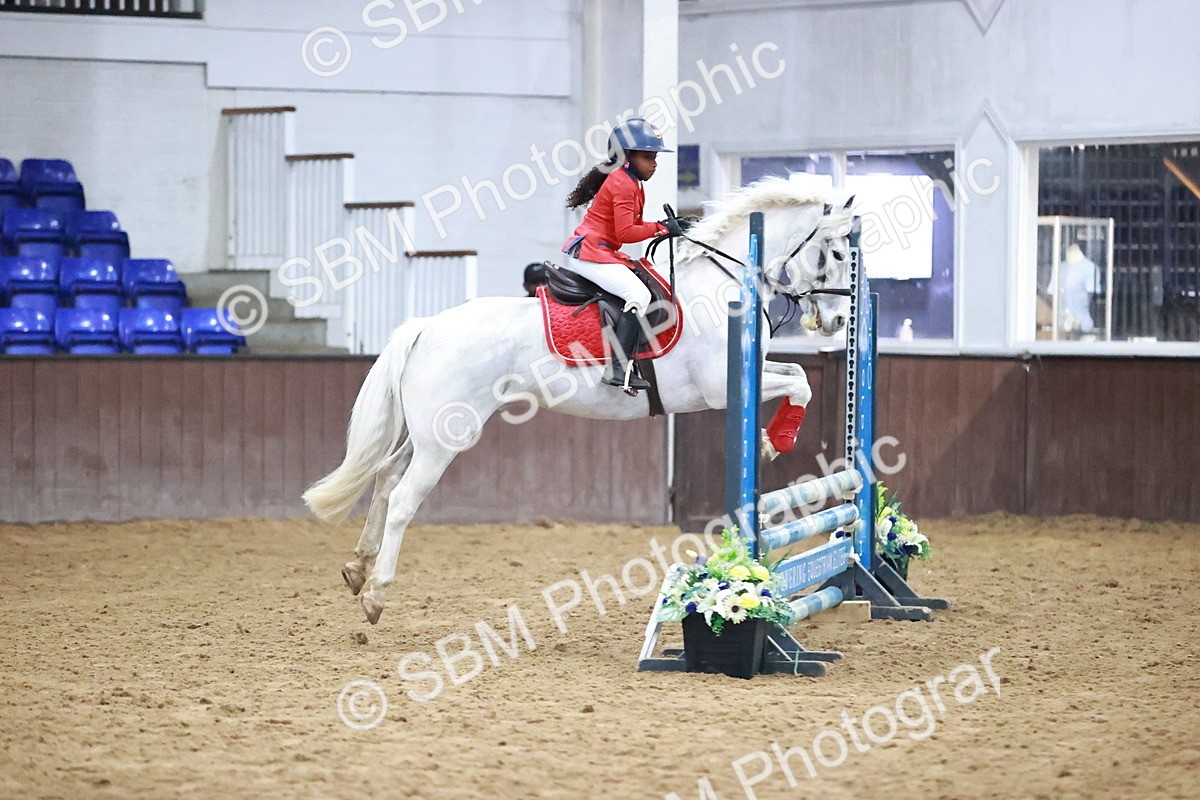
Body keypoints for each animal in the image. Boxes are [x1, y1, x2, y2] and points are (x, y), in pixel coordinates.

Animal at [304, 177, 856, 624]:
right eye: (834, 254)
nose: (837, 322)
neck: (723, 286)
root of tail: (426, 326)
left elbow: (798, 374)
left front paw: (770, 439)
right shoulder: (719, 388)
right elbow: (801, 382)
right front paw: (775, 441)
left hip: (428, 432)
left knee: (384, 479)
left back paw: (357, 568)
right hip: (446, 438)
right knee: (401, 499)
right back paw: (376, 595)